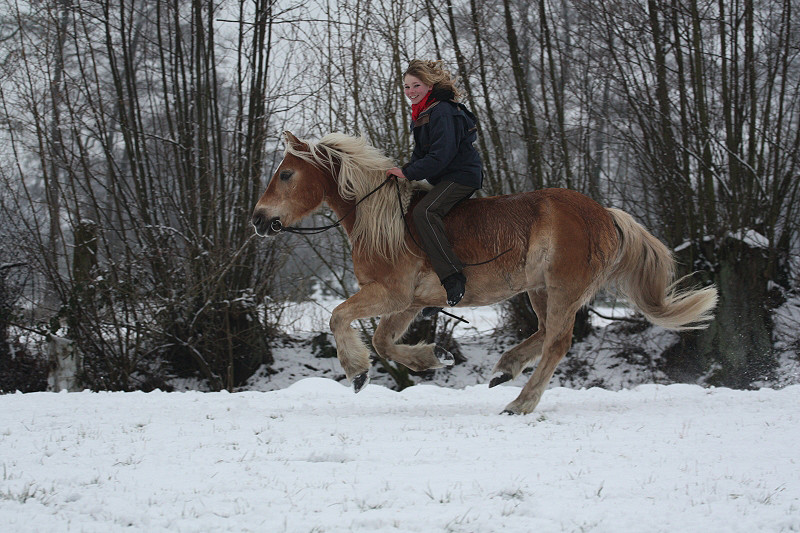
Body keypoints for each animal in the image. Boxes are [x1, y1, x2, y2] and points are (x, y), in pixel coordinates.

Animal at [252, 131, 720, 414]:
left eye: (286, 174)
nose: (258, 220)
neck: (382, 222)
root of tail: (605, 215)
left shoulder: (392, 293)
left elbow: (338, 317)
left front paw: (356, 371)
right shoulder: (410, 302)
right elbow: (384, 341)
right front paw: (433, 357)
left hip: (563, 287)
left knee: (559, 342)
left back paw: (520, 404)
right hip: (539, 290)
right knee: (545, 333)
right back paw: (504, 370)